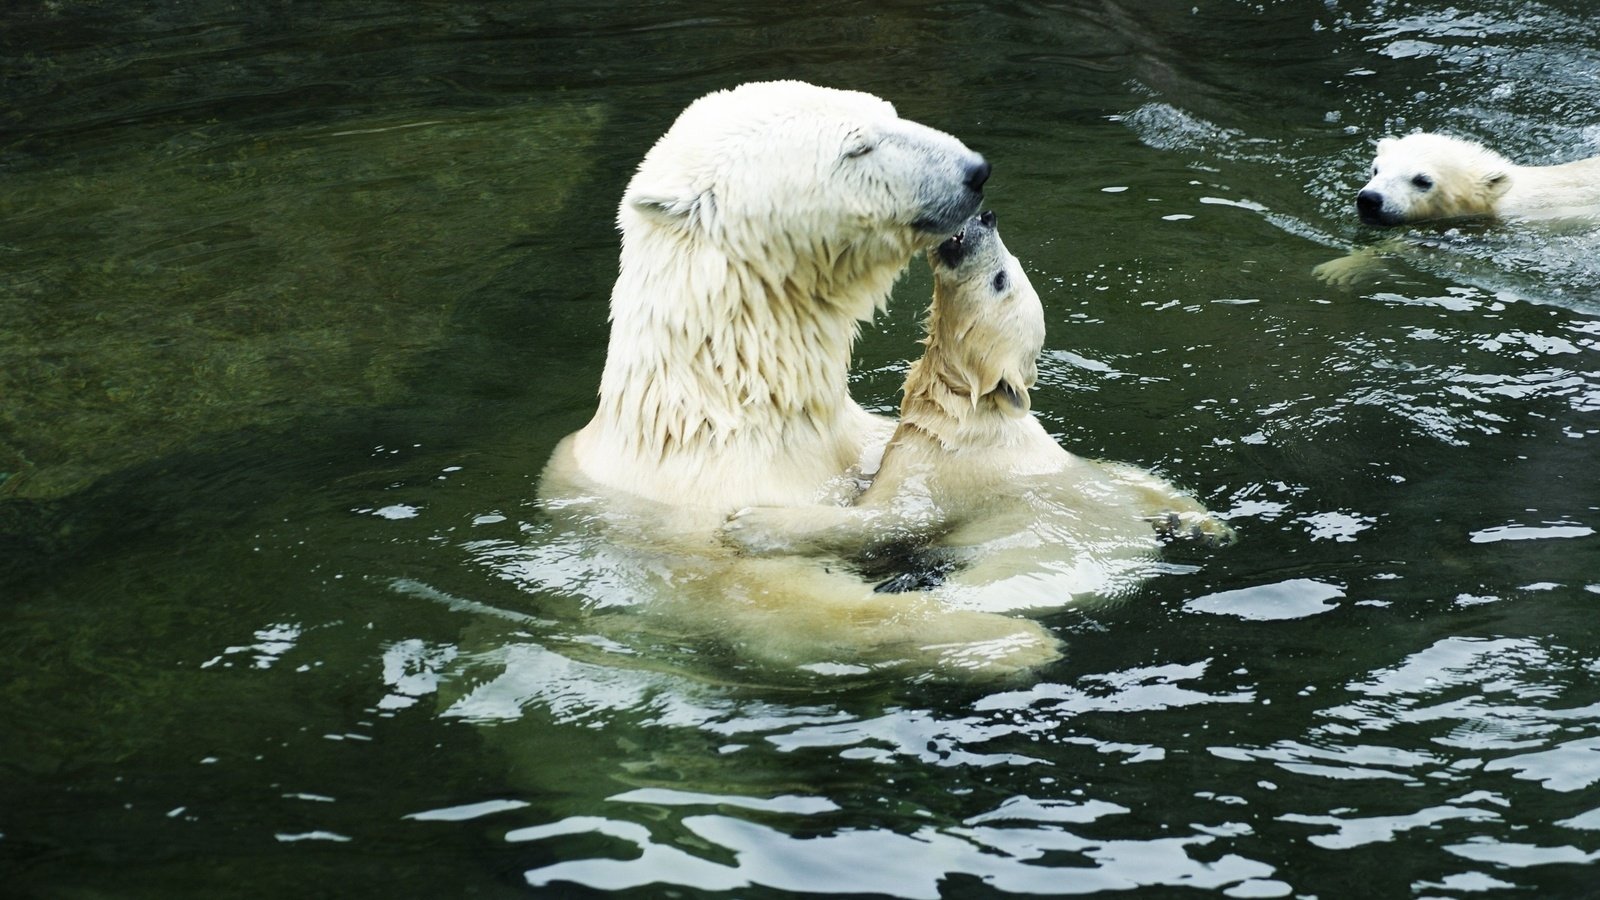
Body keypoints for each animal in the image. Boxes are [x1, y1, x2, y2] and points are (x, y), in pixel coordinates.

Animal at [720, 211, 1228, 608]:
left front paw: (751, 522)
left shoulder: (946, 470)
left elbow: (887, 518)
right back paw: (1201, 525)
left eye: (1002, 279)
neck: (965, 410)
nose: (987, 217)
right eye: (1013, 267)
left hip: (1039, 560)